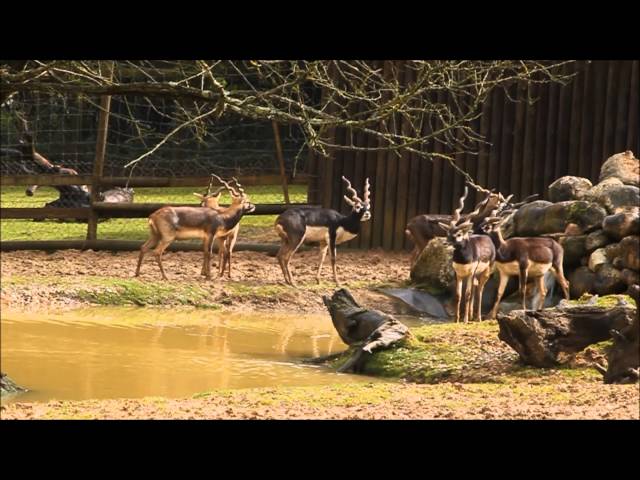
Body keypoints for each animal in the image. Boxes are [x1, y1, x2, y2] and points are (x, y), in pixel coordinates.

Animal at [438, 187, 498, 322]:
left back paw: (478, 318)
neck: (463, 258)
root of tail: (486, 237)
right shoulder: (458, 274)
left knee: (480, 291)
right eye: (448, 233)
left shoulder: (470, 273)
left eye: (459, 234)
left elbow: (467, 294)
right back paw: (471, 315)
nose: (445, 243)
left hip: (485, 272)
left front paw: (464, 320)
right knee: (475, 288)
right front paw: (456, 319)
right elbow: (458, 295)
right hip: (475, 275)